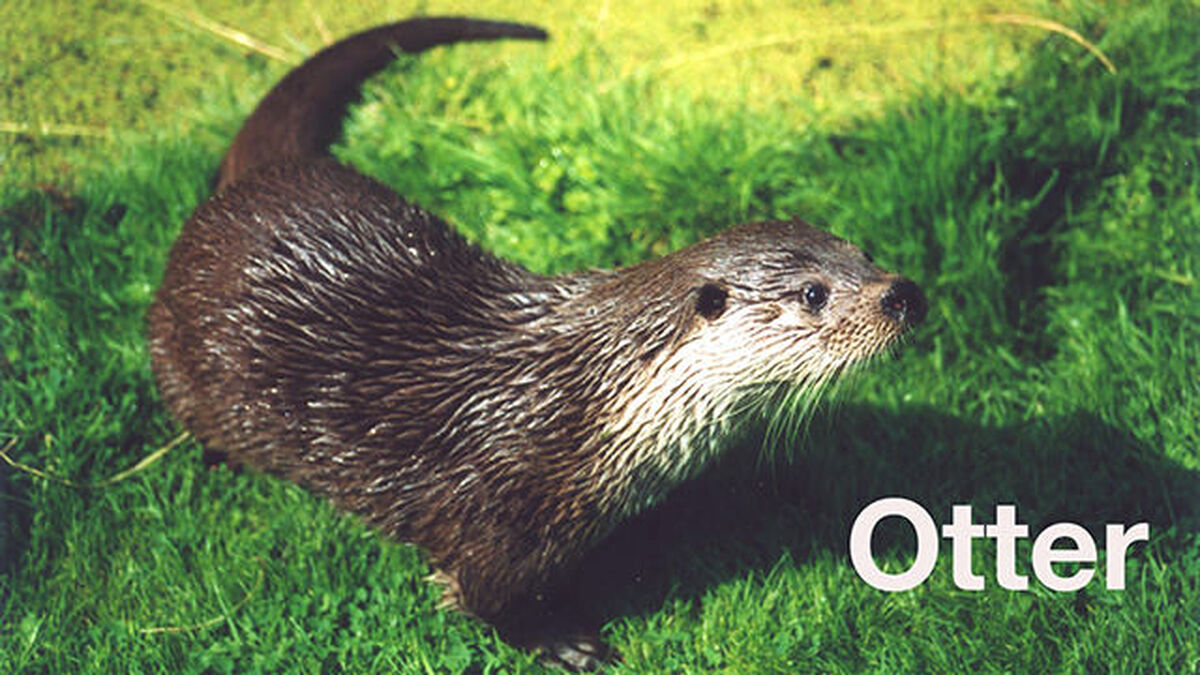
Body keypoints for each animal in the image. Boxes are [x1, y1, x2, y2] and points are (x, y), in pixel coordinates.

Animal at [147, 16, 926, 669]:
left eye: (862, 254)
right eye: (814, 293)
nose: (903, 293)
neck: (588, 405)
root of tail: (254, 182)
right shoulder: (496, 513)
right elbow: (486, 599)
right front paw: (565, 642)